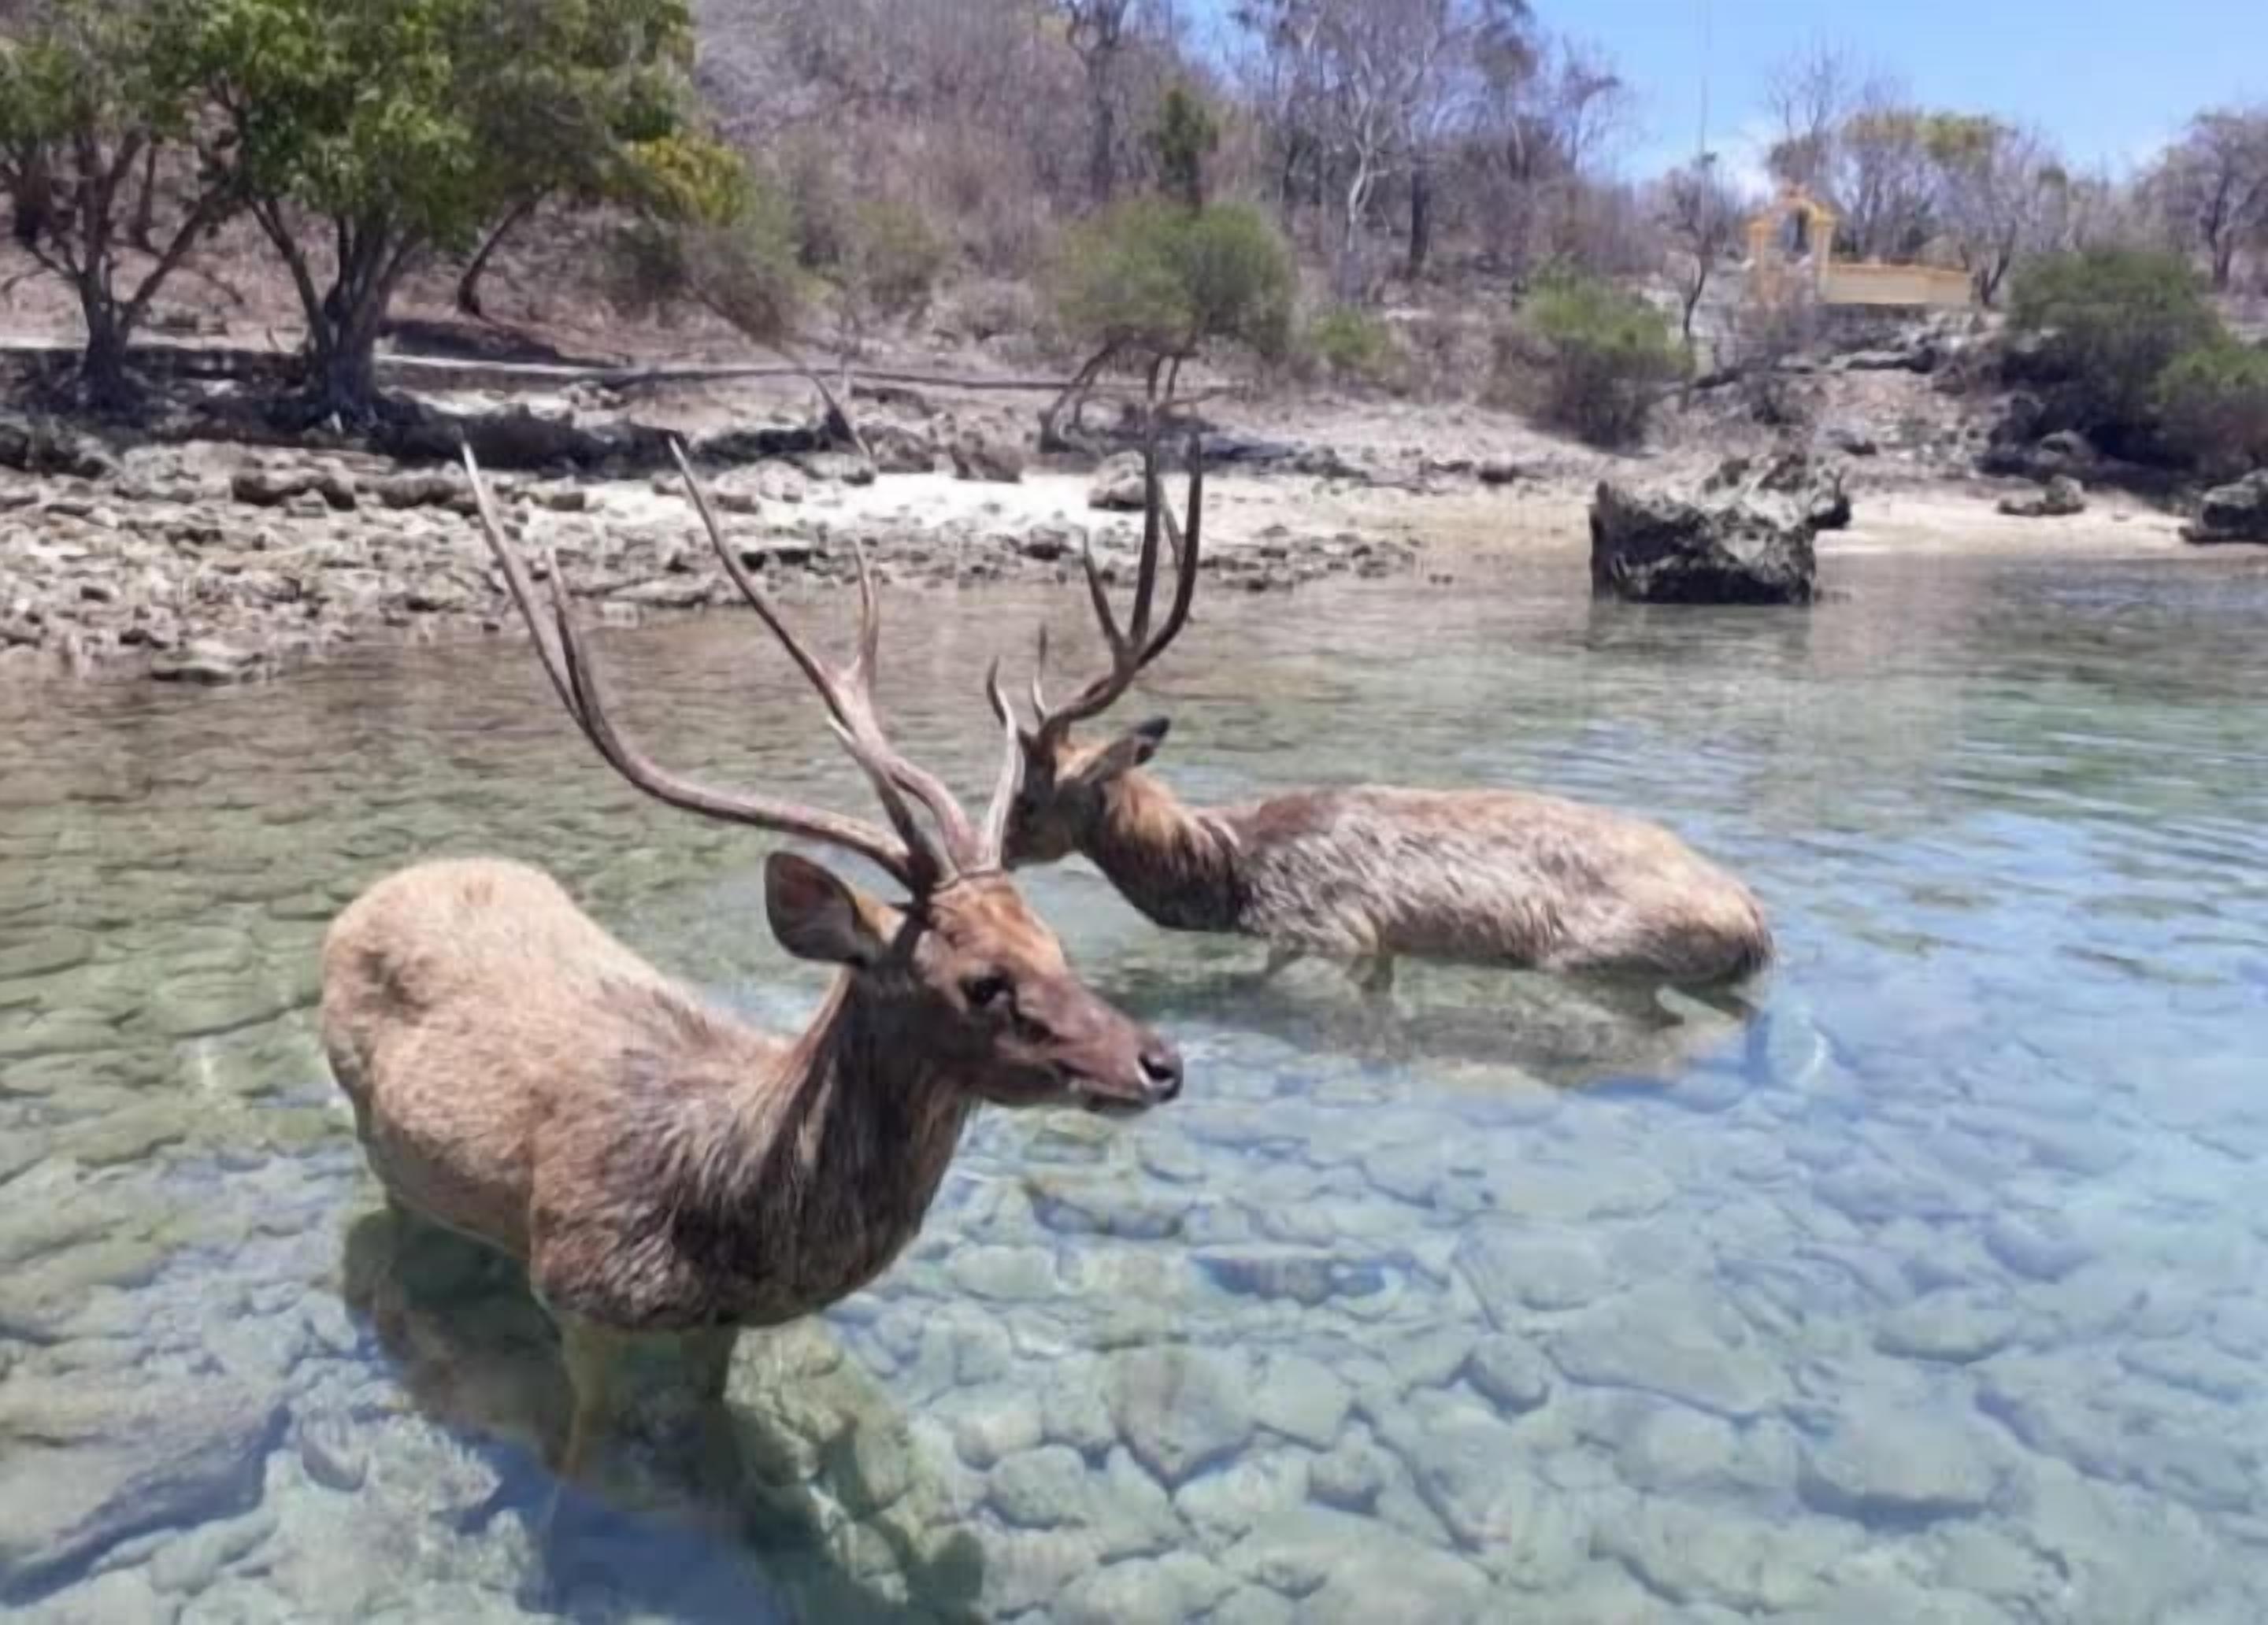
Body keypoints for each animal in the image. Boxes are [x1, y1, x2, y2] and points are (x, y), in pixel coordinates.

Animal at [320, 444, 1184, 1493]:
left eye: (1055, 943)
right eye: (981, 982)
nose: (1161, 1062)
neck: (722, 1211)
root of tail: (374, 895)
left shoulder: (716, 1327)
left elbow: (711, 1425)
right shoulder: (575, 1289)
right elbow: (583, 1449)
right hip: (374, 1131)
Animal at [992, 442, 1775, 1007]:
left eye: (1029, 799)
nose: (996, 858)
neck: (1229, 869)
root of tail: (1758, 925)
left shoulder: (1335, 926)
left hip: (1604, 952)